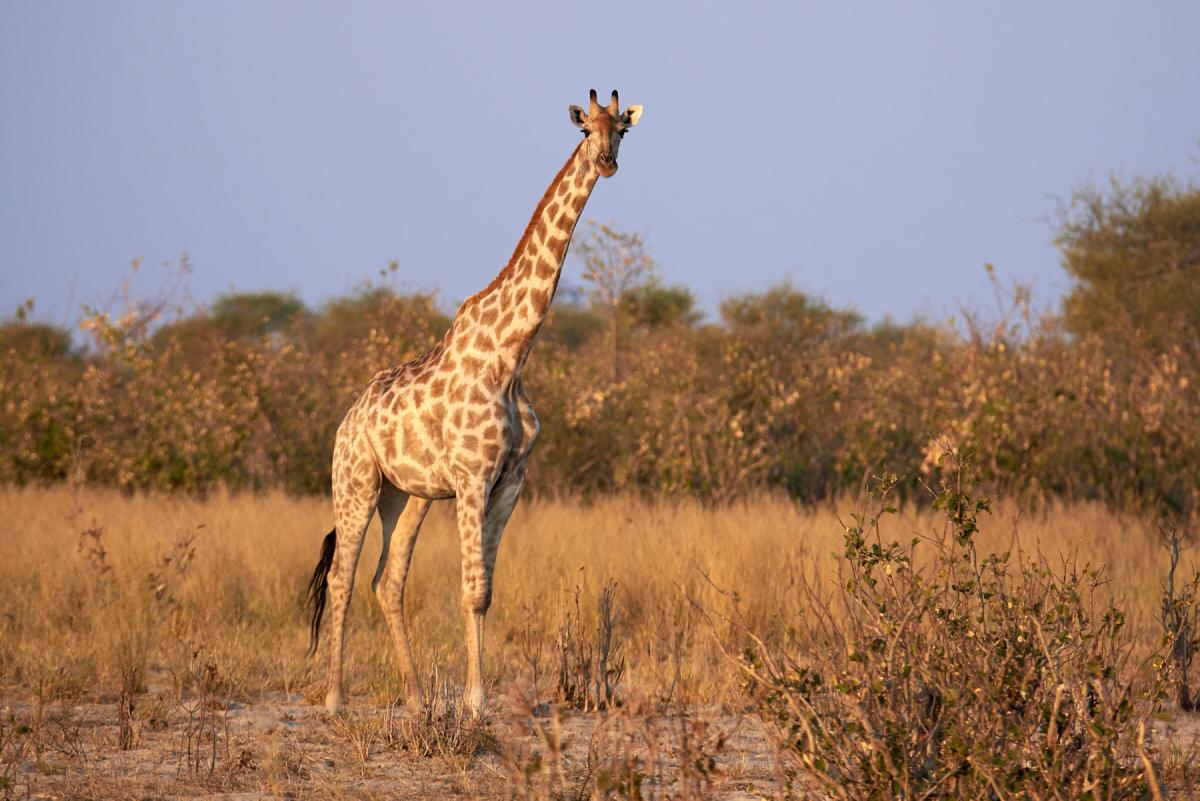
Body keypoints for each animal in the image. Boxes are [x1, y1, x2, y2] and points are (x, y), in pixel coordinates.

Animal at [306, 89, 643, 716]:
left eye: (623, 131)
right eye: (585, 129)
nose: (606, 163)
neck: (511, 357)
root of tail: (347, 420)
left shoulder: (509, 482)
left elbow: (485, 591)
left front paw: (469, 699)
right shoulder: (471, 479)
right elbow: (469, 592)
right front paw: (476, 702)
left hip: (407, 496)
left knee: (387, 581)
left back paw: (417, 701)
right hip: (356, 482)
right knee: (342, 576)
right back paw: (335, 700)